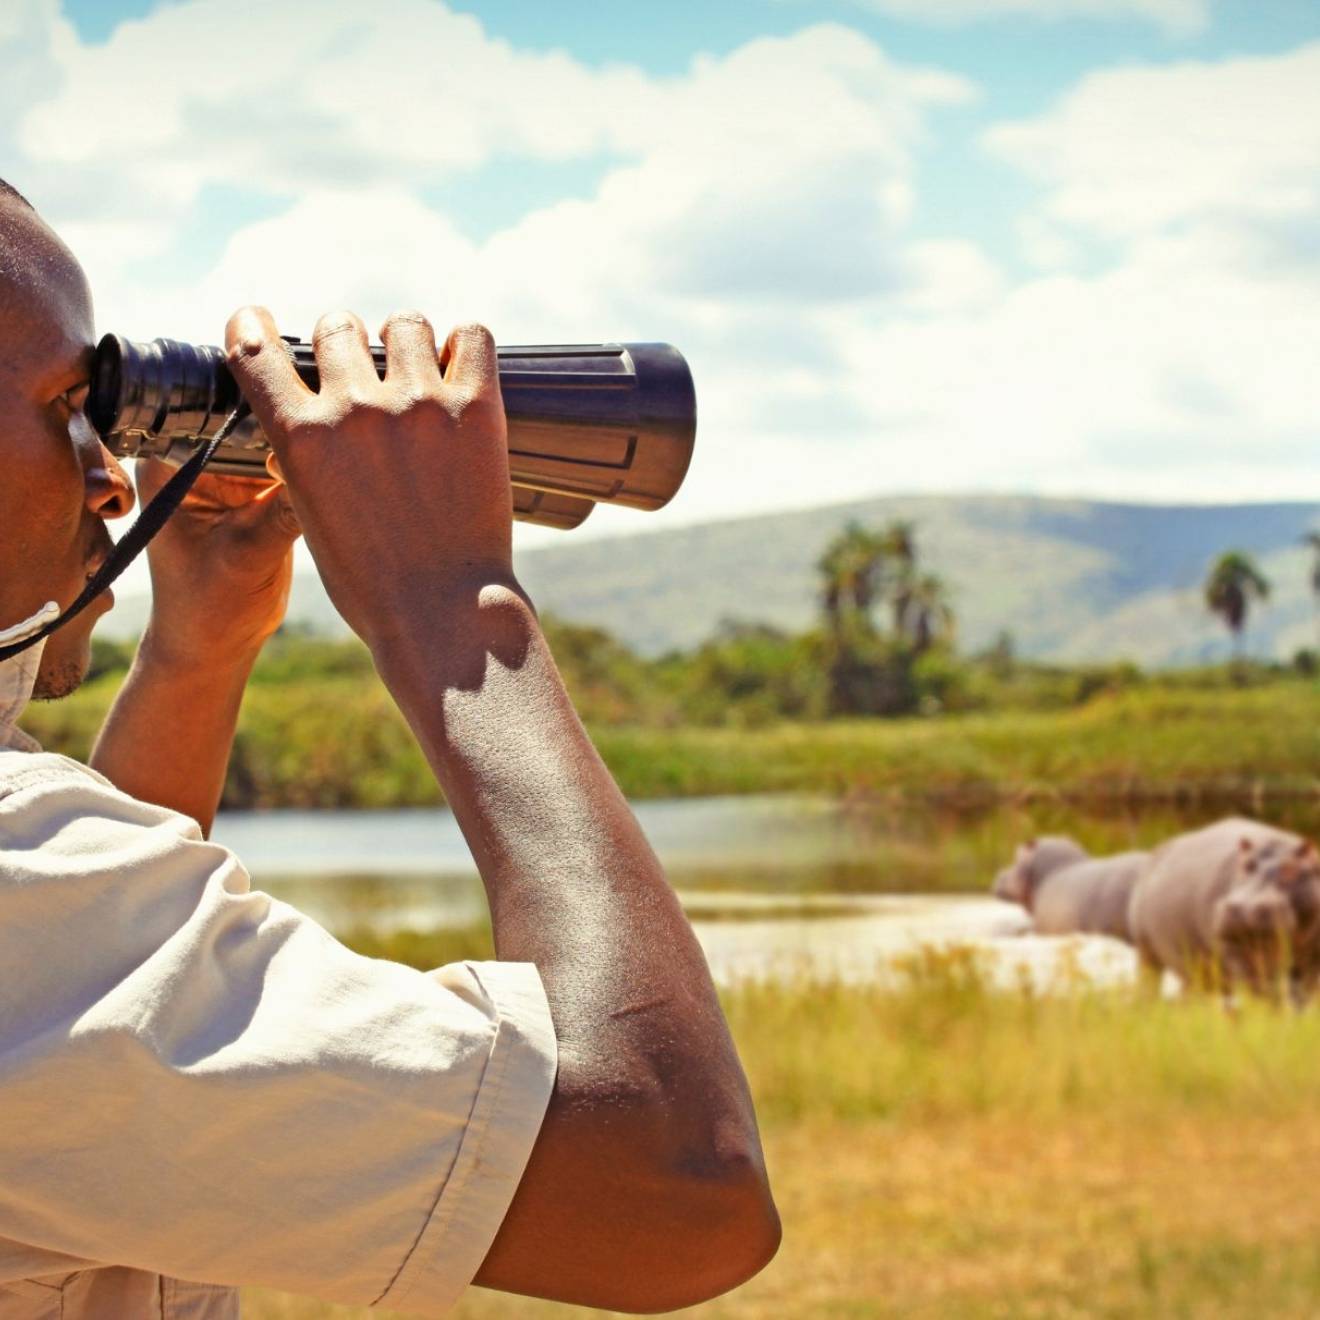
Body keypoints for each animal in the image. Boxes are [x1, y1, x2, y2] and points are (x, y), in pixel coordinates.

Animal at [1124, 813, 1320, 997]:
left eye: (1290, 869)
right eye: (1245, 865)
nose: (1242, 908)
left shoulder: (1312, 961)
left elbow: (1305, 995)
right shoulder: (1234, 952)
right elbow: (1259, 991)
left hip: (1194, 969)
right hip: (1146, 951)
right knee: (1149, 982)